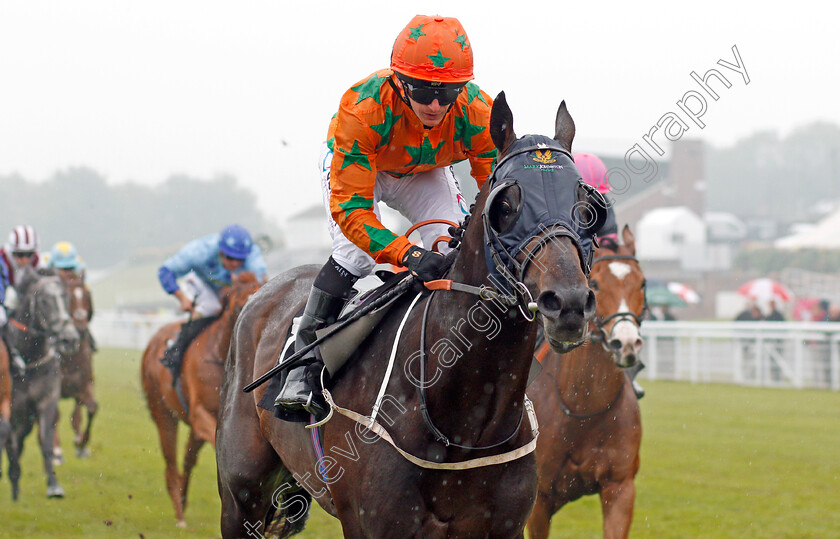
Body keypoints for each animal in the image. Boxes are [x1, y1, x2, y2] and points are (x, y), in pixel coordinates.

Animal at [6, 268, 80, 500]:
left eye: (65, 297)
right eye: (45, 300)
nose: (70, 338)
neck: (28, 359)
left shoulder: (46, 401)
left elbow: (46, 442)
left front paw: (54, 486)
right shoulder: (11, 408)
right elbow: (11, 445)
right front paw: (14, 489)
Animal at [141, 270, 260, 528]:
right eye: (239, 304)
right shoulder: (201, 415)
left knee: (187, 460)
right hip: (163, 413)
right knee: (171, 465)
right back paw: (179, 515)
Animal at [217, 94, 608, 539]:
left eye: (586, 207)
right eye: (506, 206)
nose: (568, 302)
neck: (465, 427)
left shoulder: (505, 526)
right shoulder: (369, 523)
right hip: (241, 496)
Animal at [528, 226, 648, 536]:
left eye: (642, 283)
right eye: (595, 282)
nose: (625, 344)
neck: (584, 407)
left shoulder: (620, 488)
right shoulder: (539, 499)